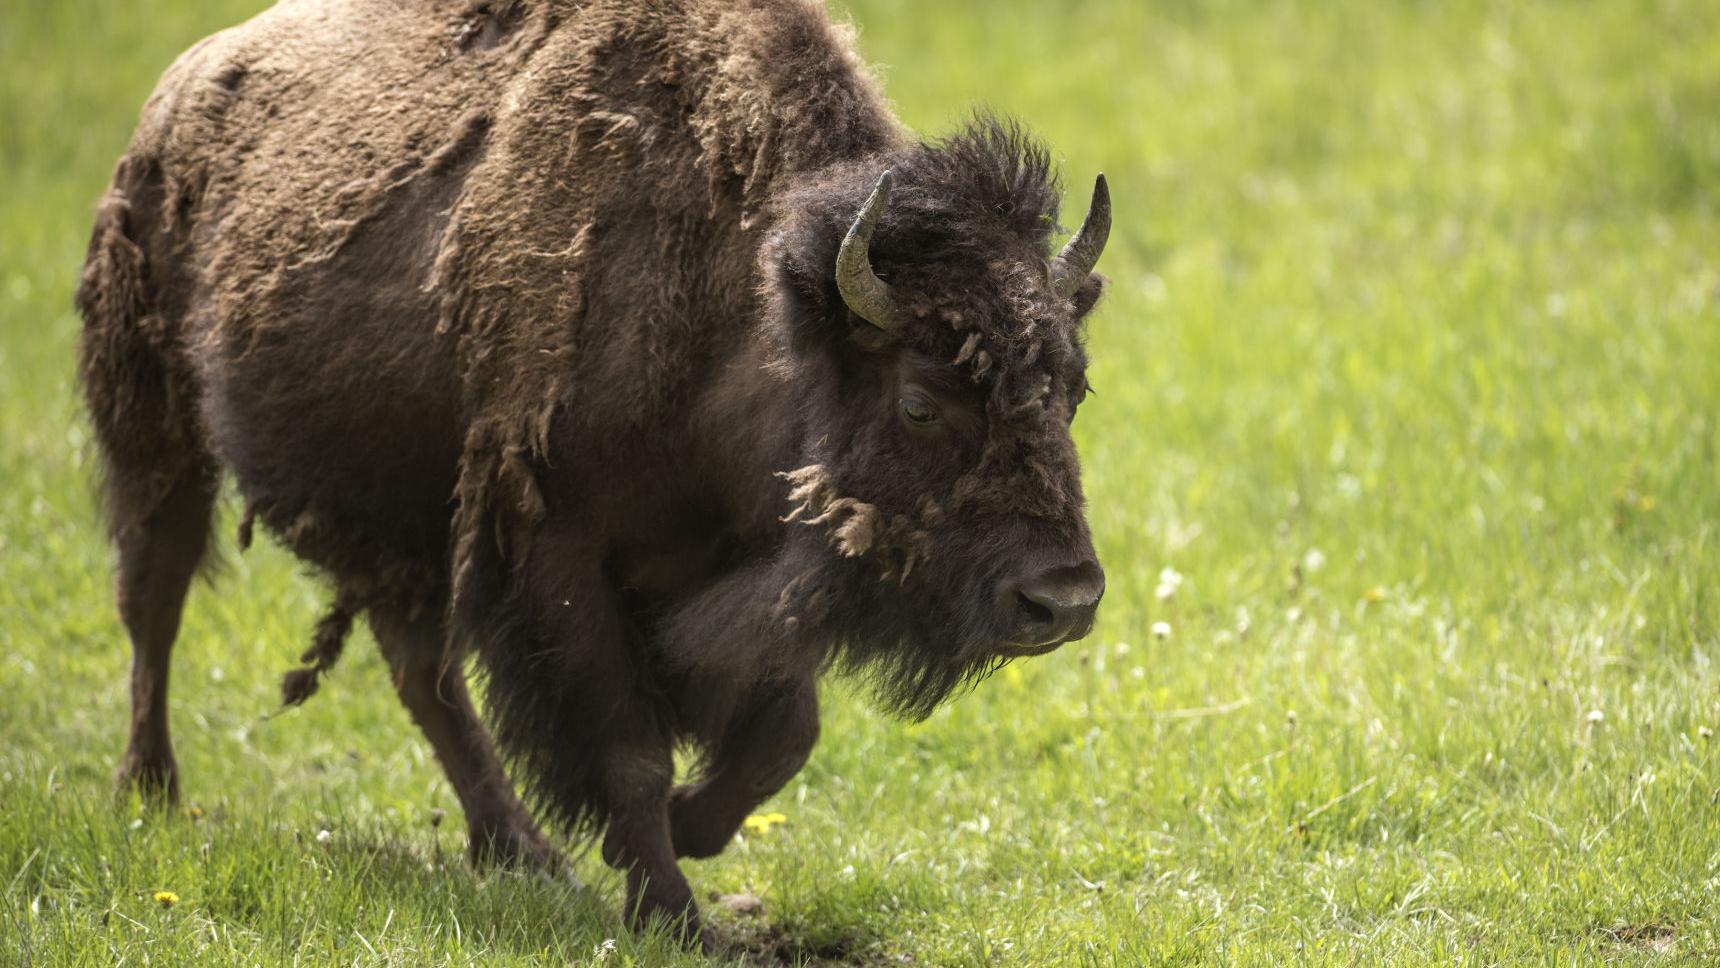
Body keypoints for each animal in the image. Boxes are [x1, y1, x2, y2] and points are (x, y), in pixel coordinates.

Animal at [78, 0, 1111, 944]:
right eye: (920, 402)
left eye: (1073, 387)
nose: (1062, 600)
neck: (742, 318)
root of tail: (174, 98)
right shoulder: (560, 561)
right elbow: (631, 752)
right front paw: (671, 912)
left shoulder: (752, 570)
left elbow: (785, 730)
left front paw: (686, 835)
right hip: (158, 439)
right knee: (155, 604)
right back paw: (151, 793)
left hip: (408, 531)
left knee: (422, 670)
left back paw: (522, 851)